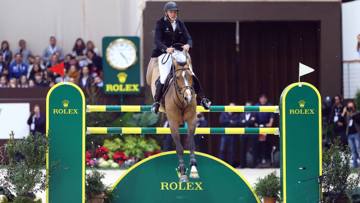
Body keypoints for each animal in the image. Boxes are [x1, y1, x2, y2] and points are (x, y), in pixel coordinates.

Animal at [146, 48, 198, 182]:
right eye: (178, 77)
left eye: (190, 76)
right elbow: (179, 148)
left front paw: (193, 168)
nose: (188, 97)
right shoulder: (173, 123)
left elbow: (191, 144)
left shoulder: (191, 120)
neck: (181, 101)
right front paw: (183, 172)